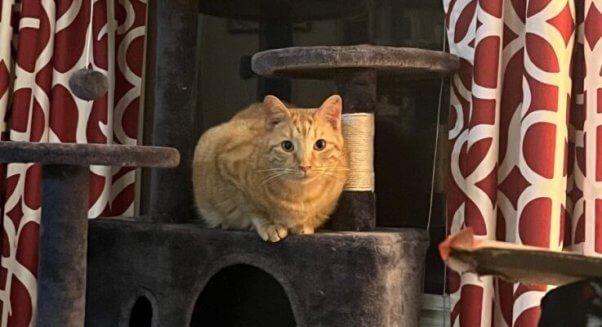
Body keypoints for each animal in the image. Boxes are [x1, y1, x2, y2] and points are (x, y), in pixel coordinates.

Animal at [192, 93, 346, 242]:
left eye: (320, 145)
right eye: (287, 146)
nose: (305, 166)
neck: (300, 196)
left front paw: (304, 224)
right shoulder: (226, 169)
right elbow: (252, 207)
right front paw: (270, 224)